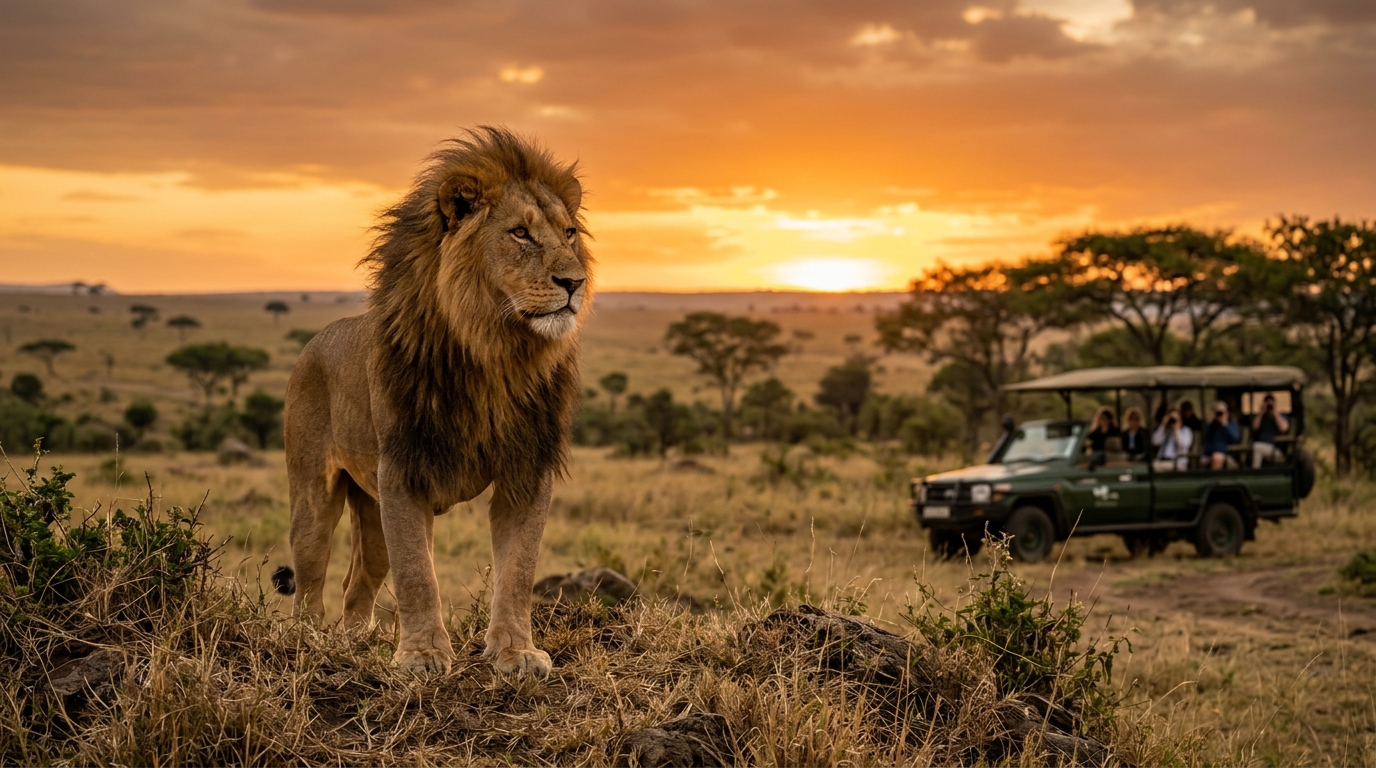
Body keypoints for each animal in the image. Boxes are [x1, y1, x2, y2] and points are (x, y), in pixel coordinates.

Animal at [270, 127, 591, 677]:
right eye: (520, 234)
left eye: (569, 233)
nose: (574, 282)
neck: (494, 354)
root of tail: (316, 341)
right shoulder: (404, 470)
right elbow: (418, 574)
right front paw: (422, 656)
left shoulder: (527, 471)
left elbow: (519, 570)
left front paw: (515, 652)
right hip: (315, 492)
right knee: (311, 575)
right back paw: (308, 640)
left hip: (371, 504)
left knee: (358, 580)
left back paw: (354, 641)